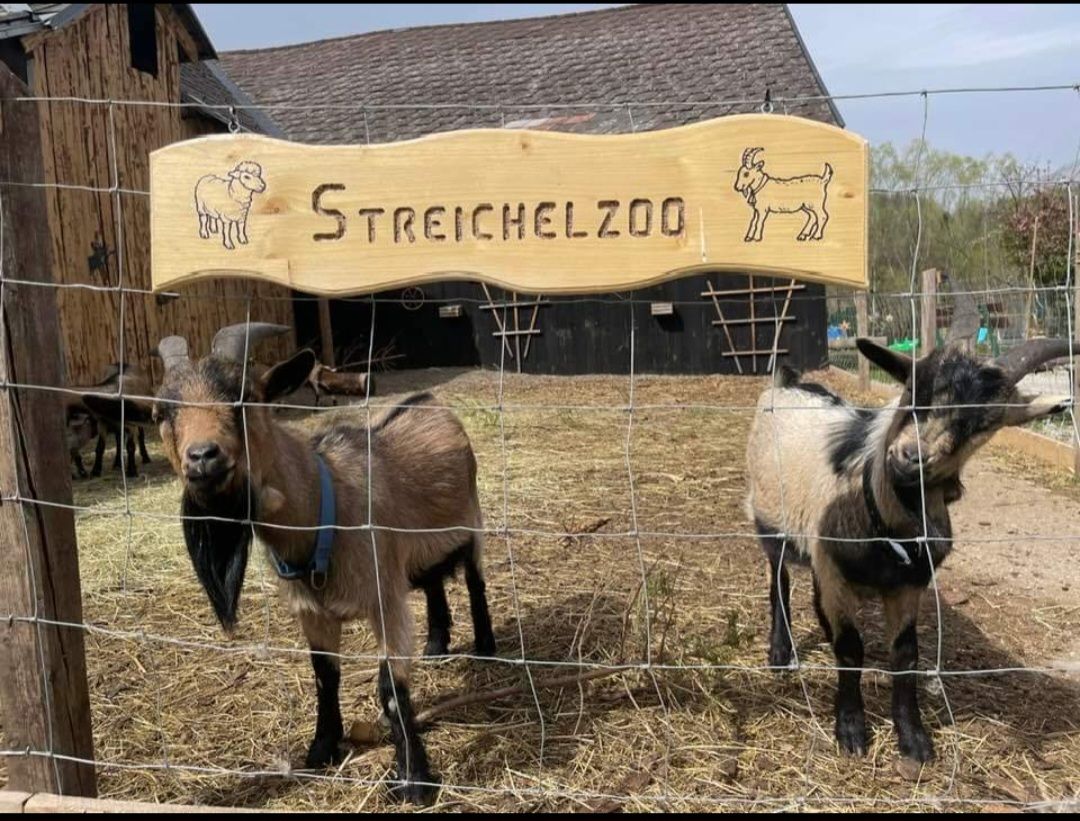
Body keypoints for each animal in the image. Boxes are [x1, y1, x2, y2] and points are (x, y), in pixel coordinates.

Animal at [94, 322, 496, 805]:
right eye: (160, 413)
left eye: (245, 398)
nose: (203, 457)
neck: (327, 507)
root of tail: (431, 401)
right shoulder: (312, 611)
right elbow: (325, 676)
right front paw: (321, 749)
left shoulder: (384, 599)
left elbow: (390, 687)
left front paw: (414, 780)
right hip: (419, 552)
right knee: (433, 581)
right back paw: (436, 645)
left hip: (472, 522)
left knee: (474, 580)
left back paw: (487, 647)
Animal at [745, 338, 1072, 764]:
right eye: (914, 389)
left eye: (983, 422)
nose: (909, 458)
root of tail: (788, 382)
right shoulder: (832, 573)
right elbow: (849, 648)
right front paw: (851, 731)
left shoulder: (908, 585)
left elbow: (905, 654)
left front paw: (914, 739)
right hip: (768, 518)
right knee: (778, 581)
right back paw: (780, 653)